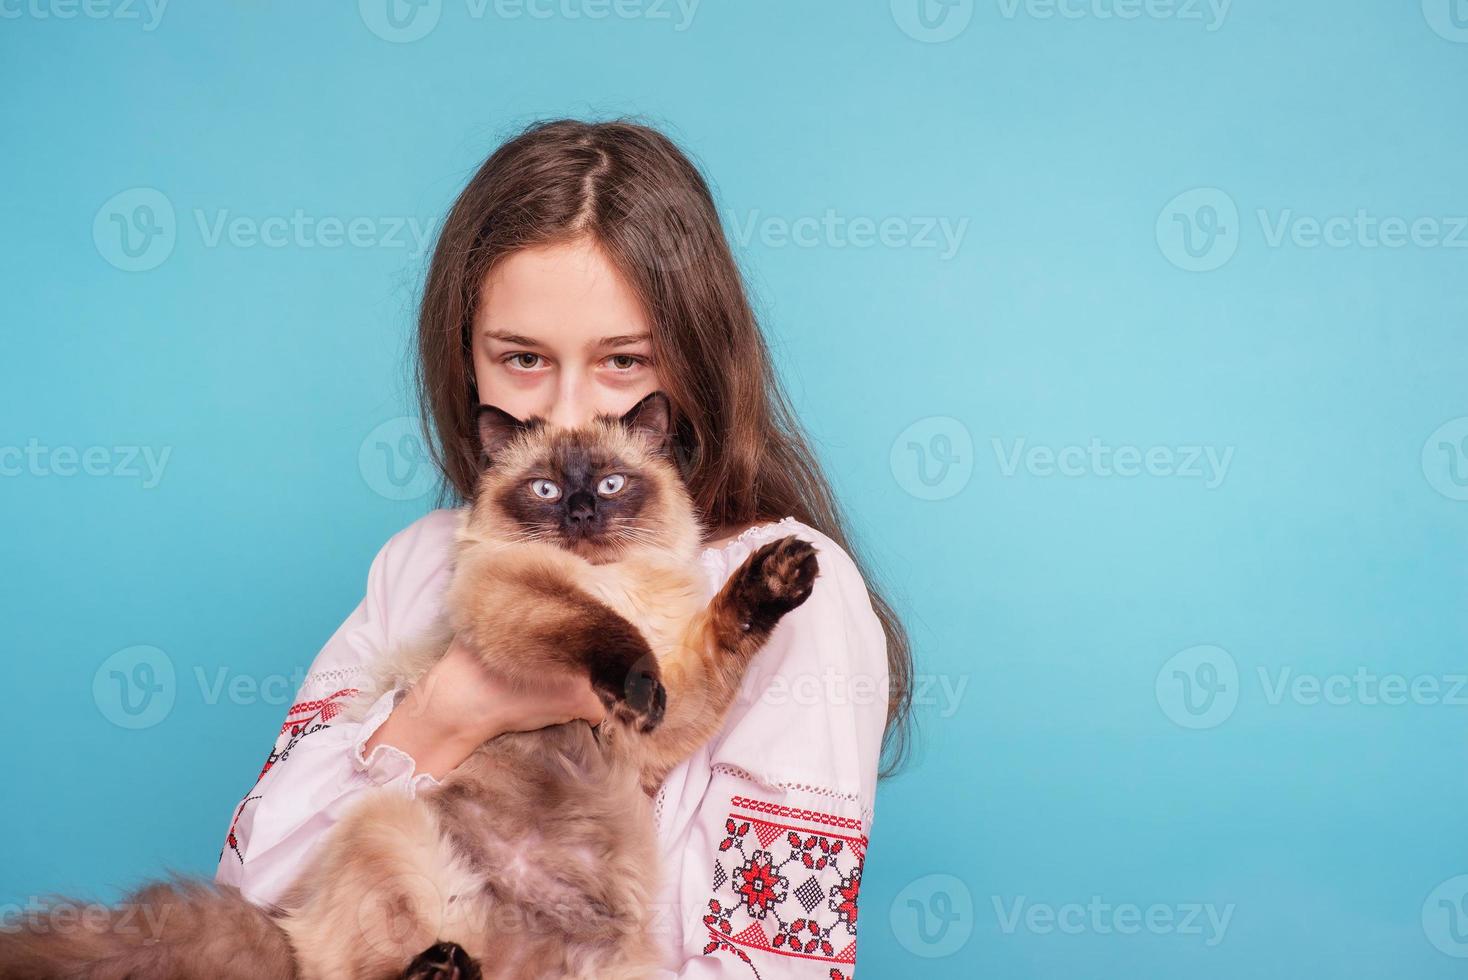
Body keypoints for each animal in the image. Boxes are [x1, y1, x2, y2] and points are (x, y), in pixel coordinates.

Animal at [0, 393, 816, 979]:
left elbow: (718, 635)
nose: (582, 512)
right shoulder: (520, 601)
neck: (613, 580)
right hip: (388, 822)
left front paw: (782, 575)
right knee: (346, 973)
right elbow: (600, 632)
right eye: (546, 488)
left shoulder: (667, 715)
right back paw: (437, 970)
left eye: (613, 484)